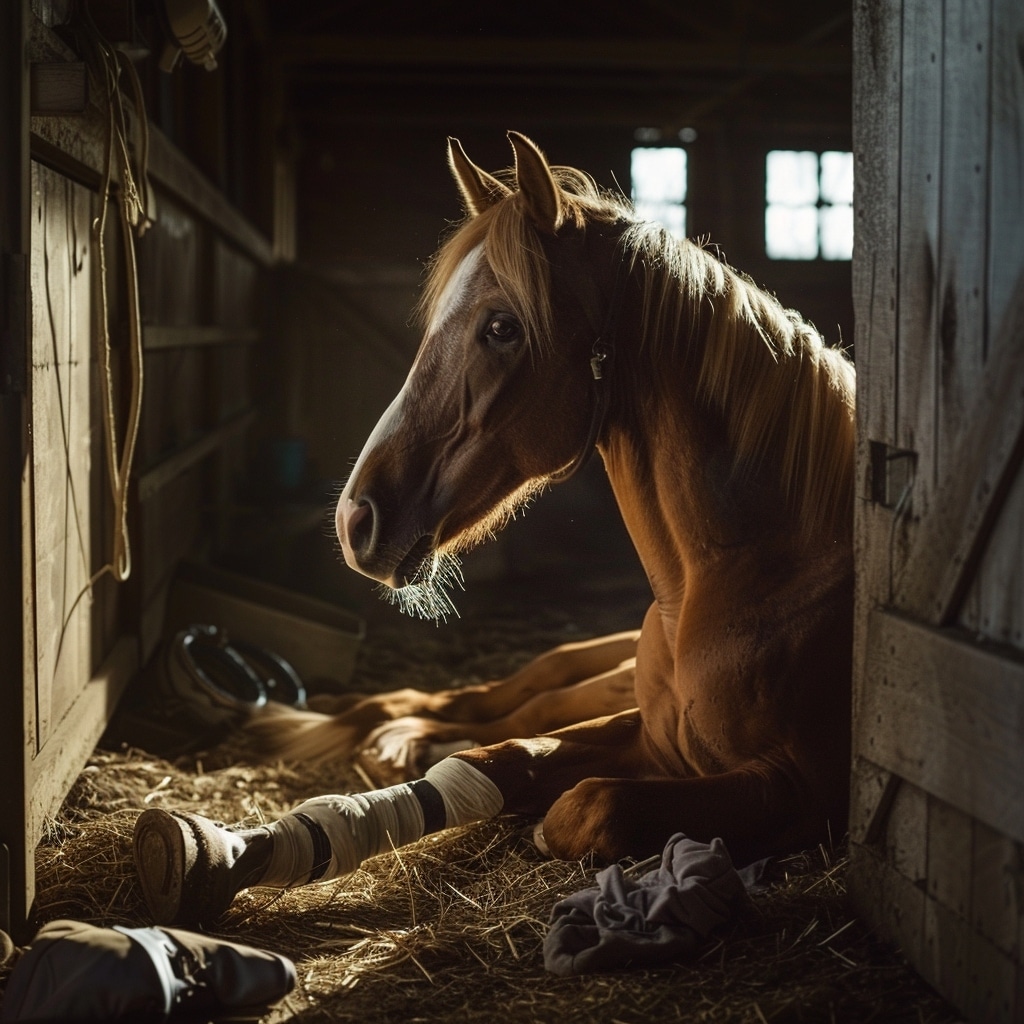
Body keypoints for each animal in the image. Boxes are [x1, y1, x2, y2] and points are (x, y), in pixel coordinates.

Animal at [249, 125, 856, 864]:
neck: (749, 570)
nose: (353, 519)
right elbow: (504, 756)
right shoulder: (646, 730)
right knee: (499, 698)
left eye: (502, 327)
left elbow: (593, 802)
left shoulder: (798, 791)